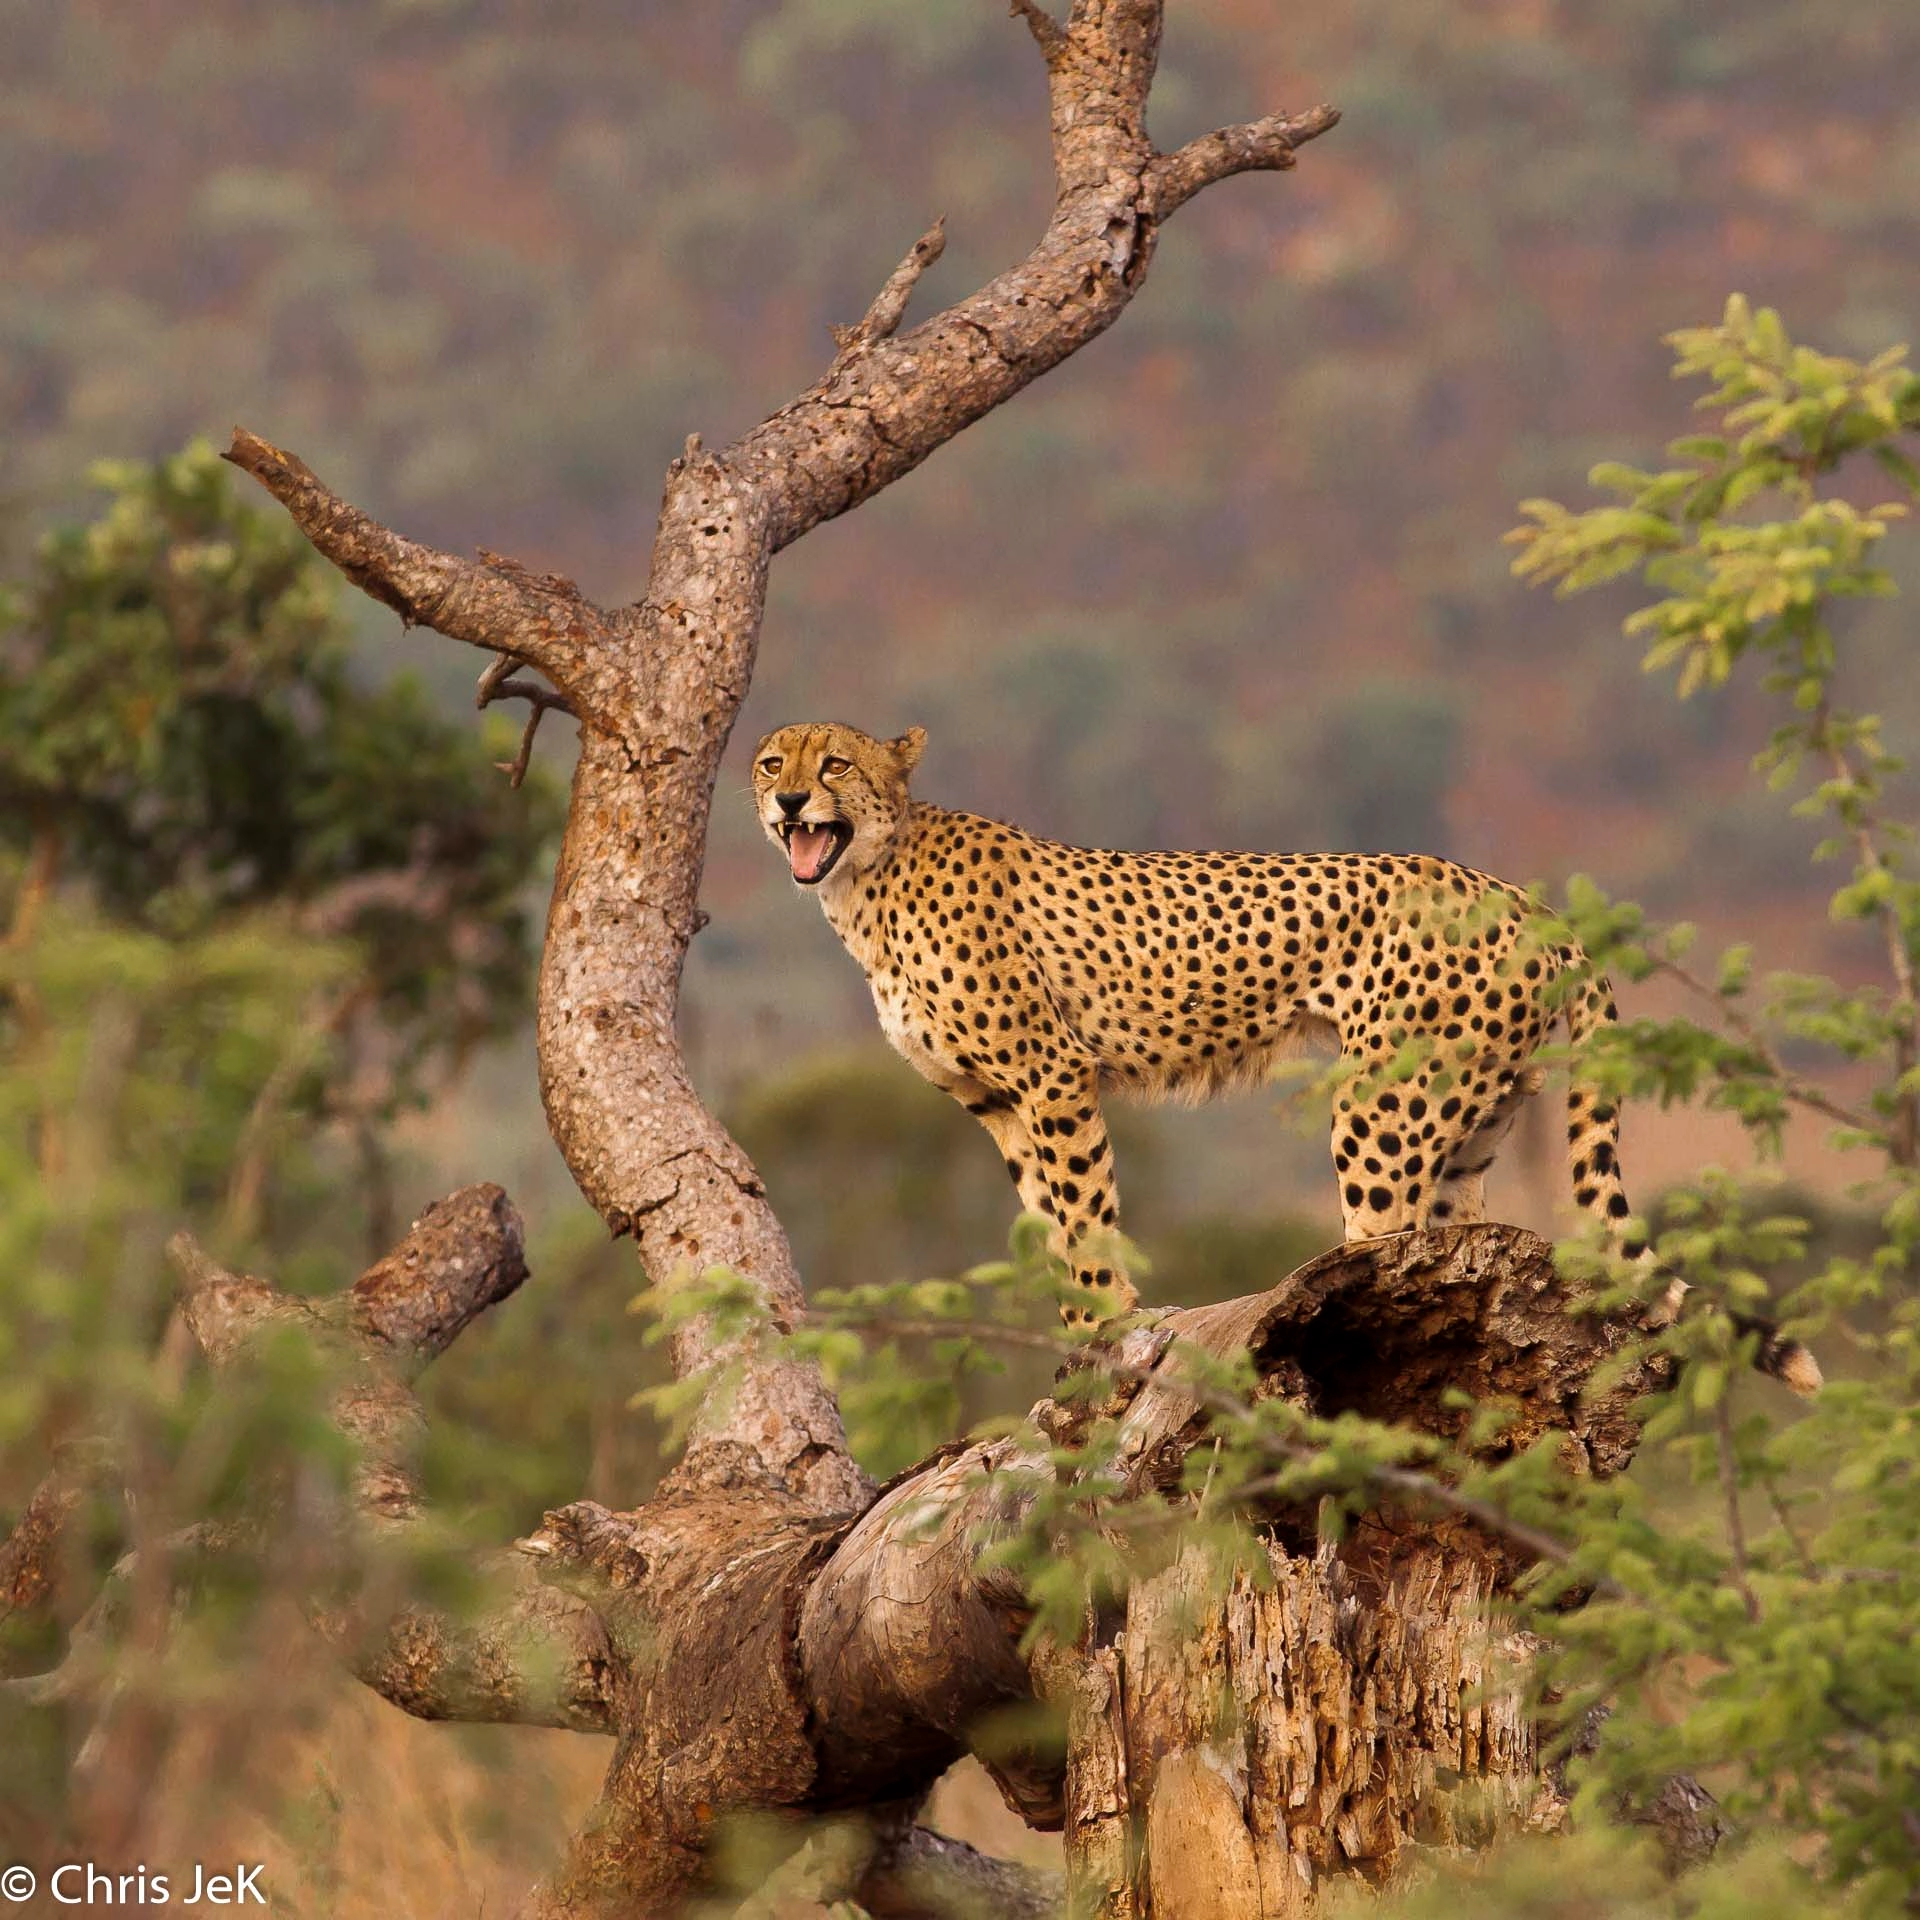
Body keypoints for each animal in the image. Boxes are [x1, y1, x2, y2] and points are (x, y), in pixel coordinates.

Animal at [748, 721, 1812, 1382]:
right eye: (768, 762)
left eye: (833, 764)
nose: (790, 799)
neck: (866, 881)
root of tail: (1519, 893)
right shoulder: (999, 1105)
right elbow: (1047, 1219)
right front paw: (1079, 1337)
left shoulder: (1052, 1077)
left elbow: (1084, 1215)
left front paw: (1112, 1329)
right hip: (1473, 1112)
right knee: (1451, 1242)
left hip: (1381, 1104)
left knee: (1384, 1244)